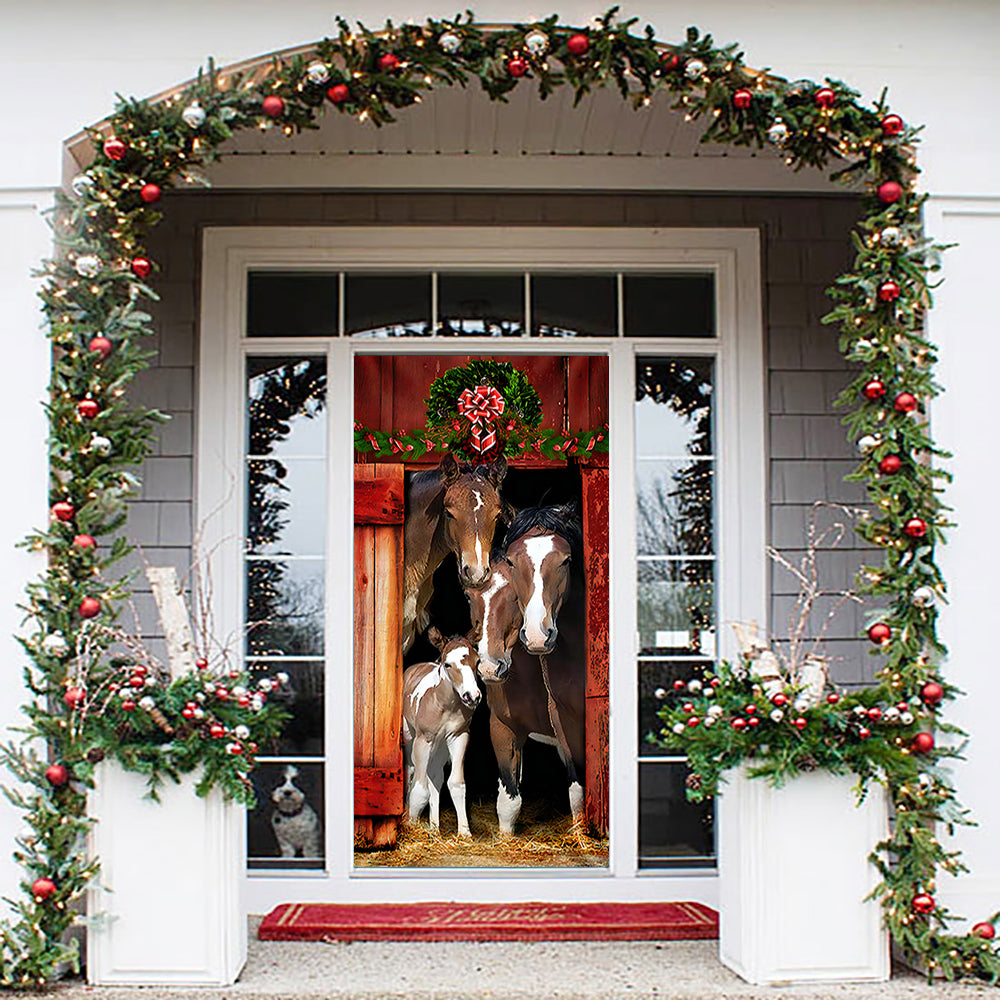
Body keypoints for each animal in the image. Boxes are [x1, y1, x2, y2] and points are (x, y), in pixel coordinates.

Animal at [404, 632, 486, 836]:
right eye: (447, 664)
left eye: (477, 661)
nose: (472, 696)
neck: (446, 705)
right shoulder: (423, 739)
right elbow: (419, 786)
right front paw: (412, 824)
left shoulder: (459, 737)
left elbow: (456, 783)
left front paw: (464, 832)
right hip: (410, 736)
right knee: (411, 770)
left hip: (440, 746)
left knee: (435, 776)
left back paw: (434, 827)